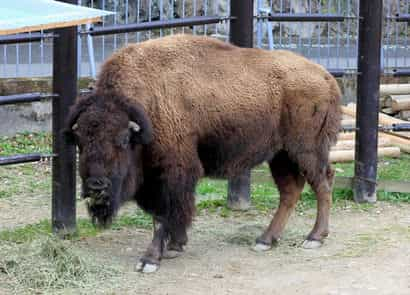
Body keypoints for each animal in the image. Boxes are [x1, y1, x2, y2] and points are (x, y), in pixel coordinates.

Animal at [65, 34, 342, 272]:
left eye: (122, 140)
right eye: (80, 141)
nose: (96, 186)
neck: (148, 102)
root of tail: (326, 77)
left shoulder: (170, 174)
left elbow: (162, 216)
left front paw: (150, 260)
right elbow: (171, 213)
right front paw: (175, 246)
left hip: (306, 151)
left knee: (323, 183)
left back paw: (314, 237)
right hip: (280, 155)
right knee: (290, 191)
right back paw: (265, 240)